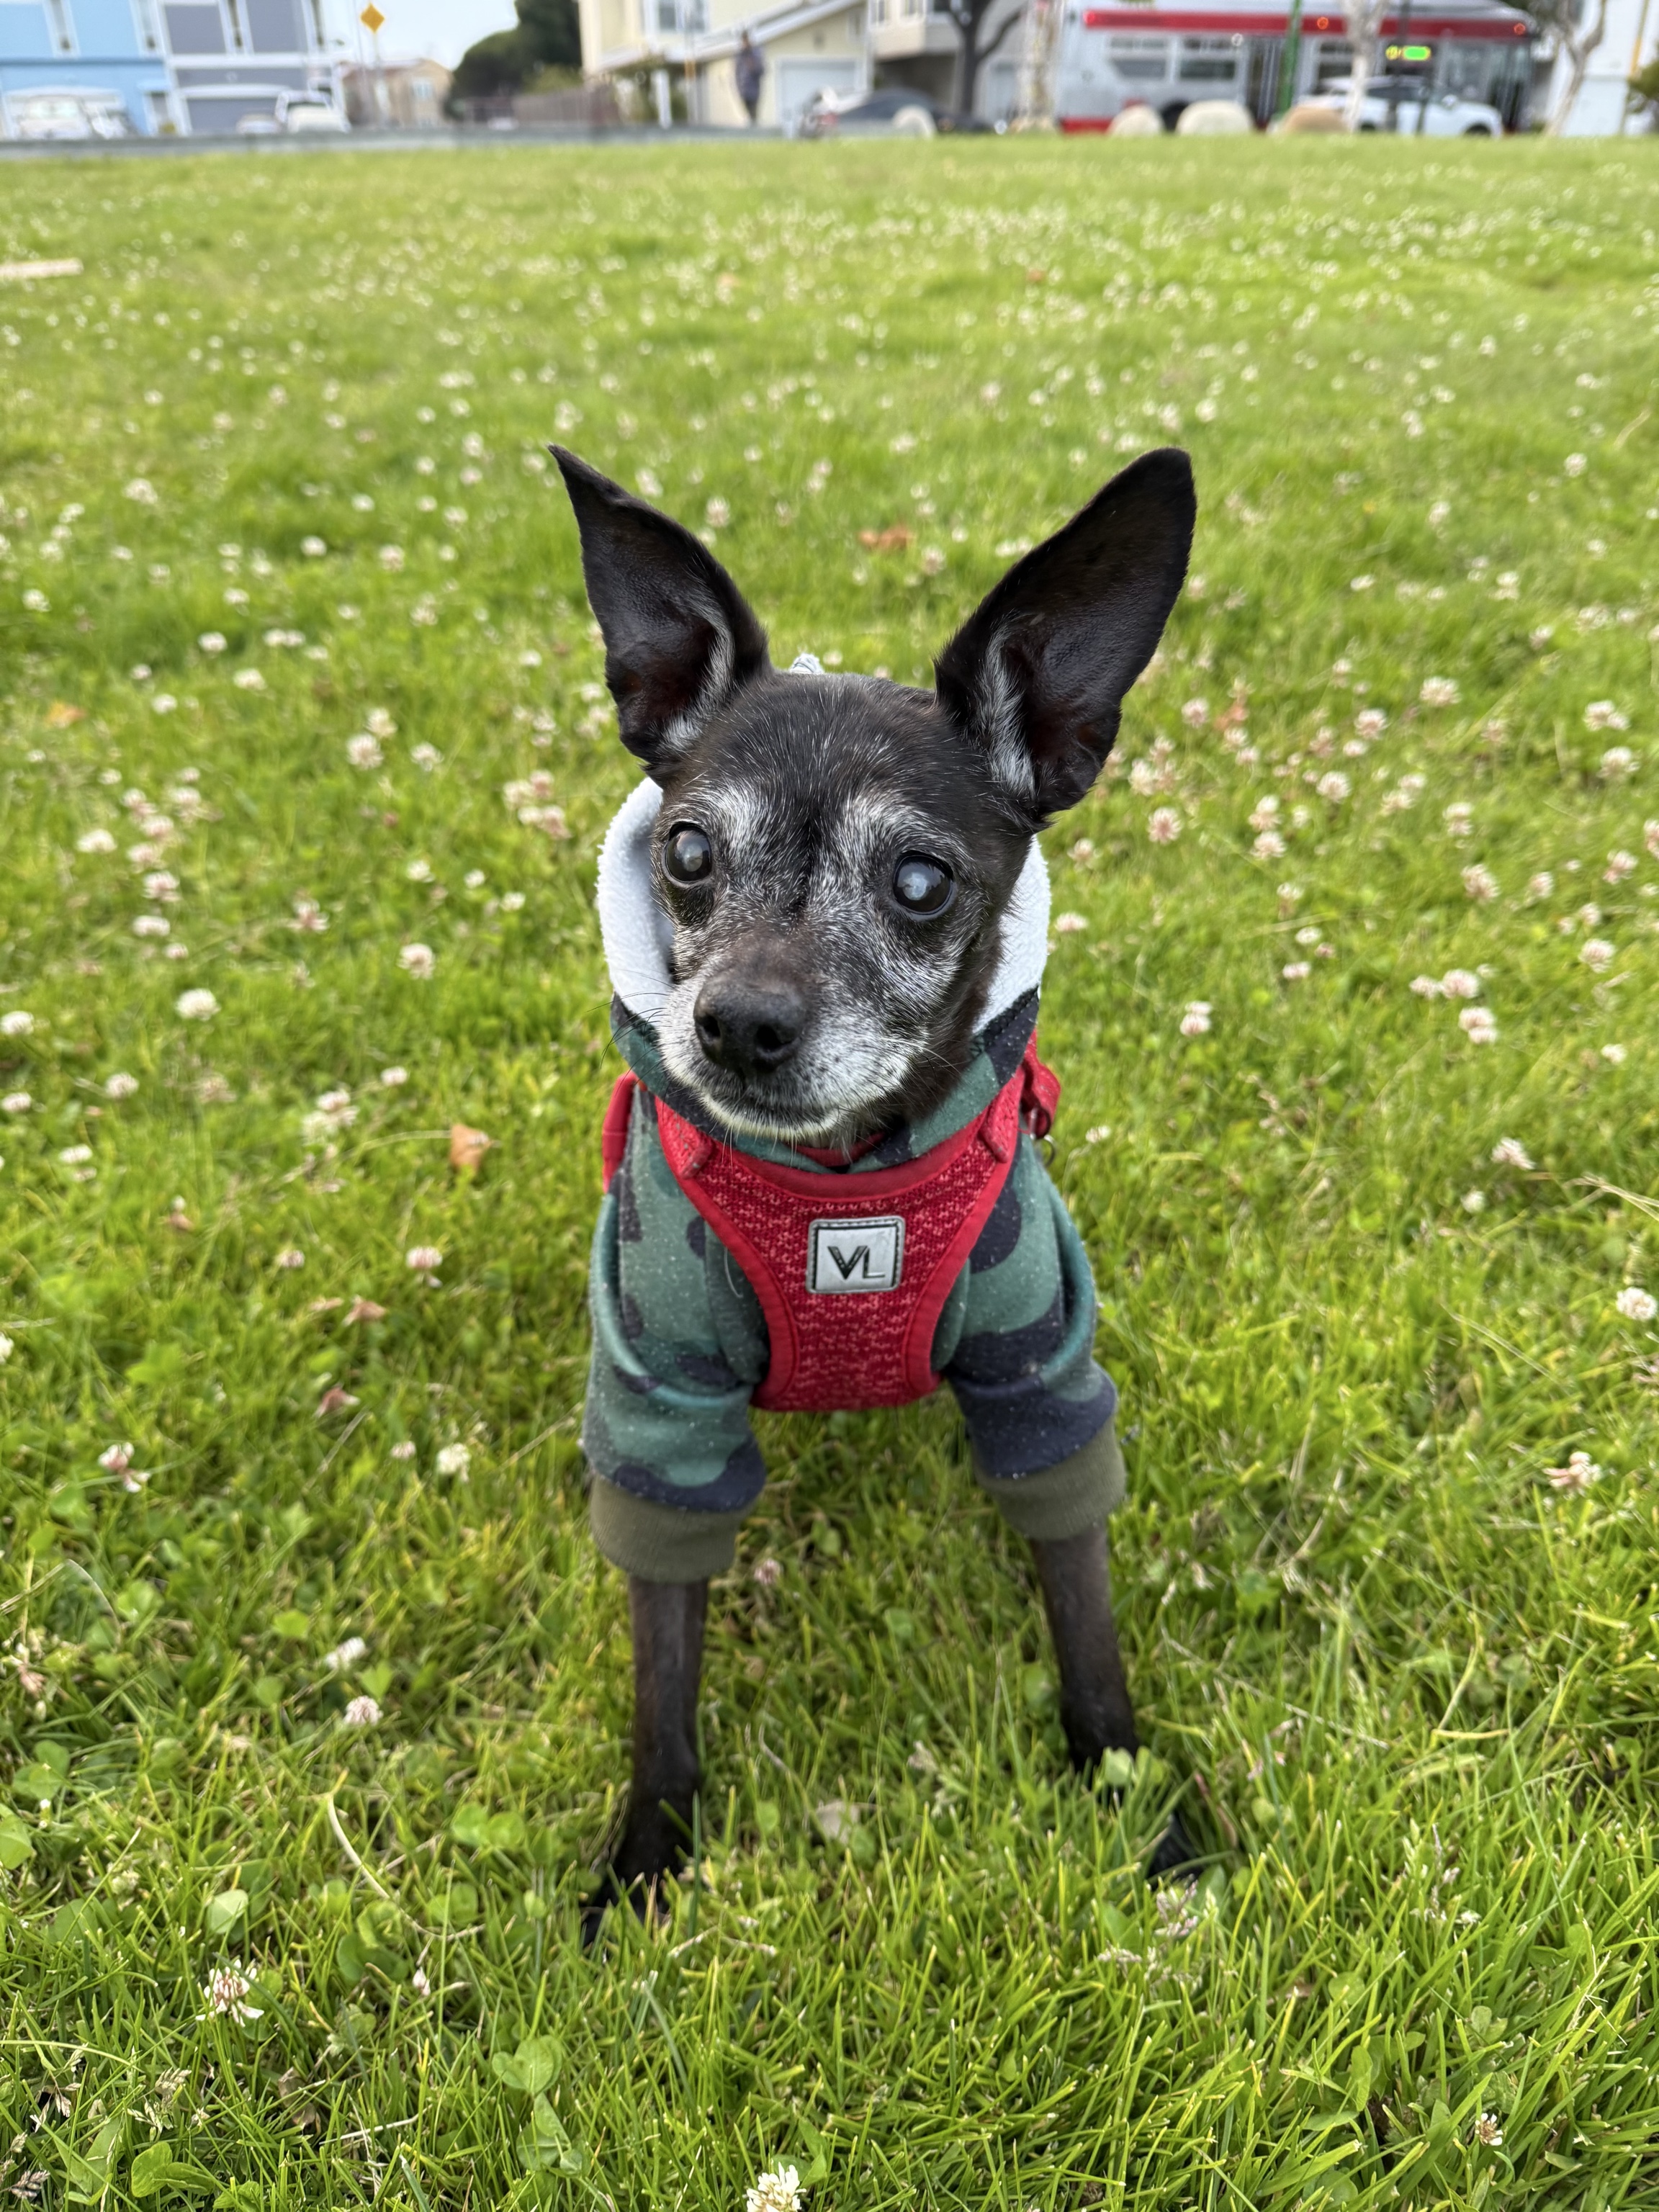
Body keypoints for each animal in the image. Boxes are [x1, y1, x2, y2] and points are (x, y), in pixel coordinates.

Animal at [553, 443, 1196, 1934]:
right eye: (686, 852)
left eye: (918, 879)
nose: (735, 1024)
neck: (841, 1188)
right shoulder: (661, 1406)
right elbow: (661, 1677)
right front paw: (649, 1853)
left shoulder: (1039, 1380)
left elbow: (1084, 1619)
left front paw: (1138, 1805)